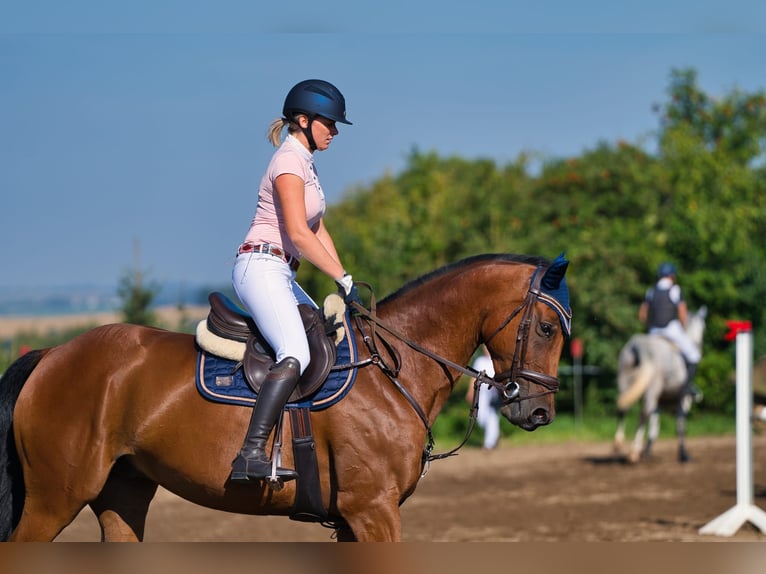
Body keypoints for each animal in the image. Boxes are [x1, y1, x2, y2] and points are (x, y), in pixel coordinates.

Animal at [0, 253, 571, 542]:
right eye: (545, 328)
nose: (539, 411)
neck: (393, 368)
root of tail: (53, 354)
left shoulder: (355, 520)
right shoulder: (373, 512)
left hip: (121, 495)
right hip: (54, 498)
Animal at [613, 306, 707, 464]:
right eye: (704, 328)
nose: (700, 345)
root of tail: (638, 344)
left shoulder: (660, 401)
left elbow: (654, 425)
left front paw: (647, 451)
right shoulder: (683, 399)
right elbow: (680, 425)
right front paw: (683, 455)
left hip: (625, 381)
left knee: (623, 409)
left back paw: (619, 444)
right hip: (652, 388)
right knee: (644, 413)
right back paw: (633, 451)